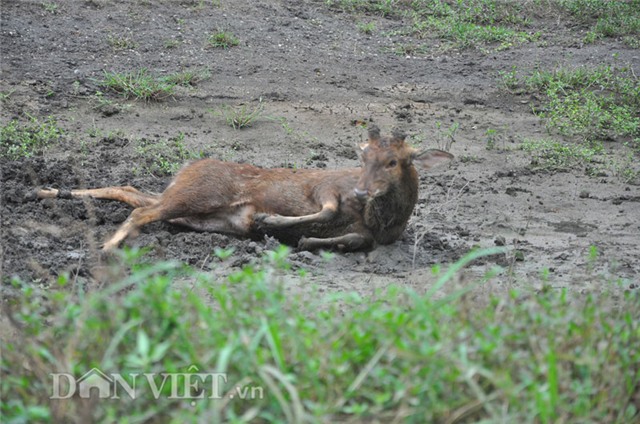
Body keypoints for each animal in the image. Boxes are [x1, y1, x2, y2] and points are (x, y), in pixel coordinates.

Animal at [36, 126, 456, 252]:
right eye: (363, 155)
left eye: (394, 161)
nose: (362, 191)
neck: (387, 219)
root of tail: (186, 167)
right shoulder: (325, 185)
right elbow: (327, 210)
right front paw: (273, 221)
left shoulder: (371, 235)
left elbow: (355, 239)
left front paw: (308, 239)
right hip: (198, 193)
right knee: (141, 209)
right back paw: (105, 247)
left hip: (191, 203)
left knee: (130, 190)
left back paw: (47, 192)